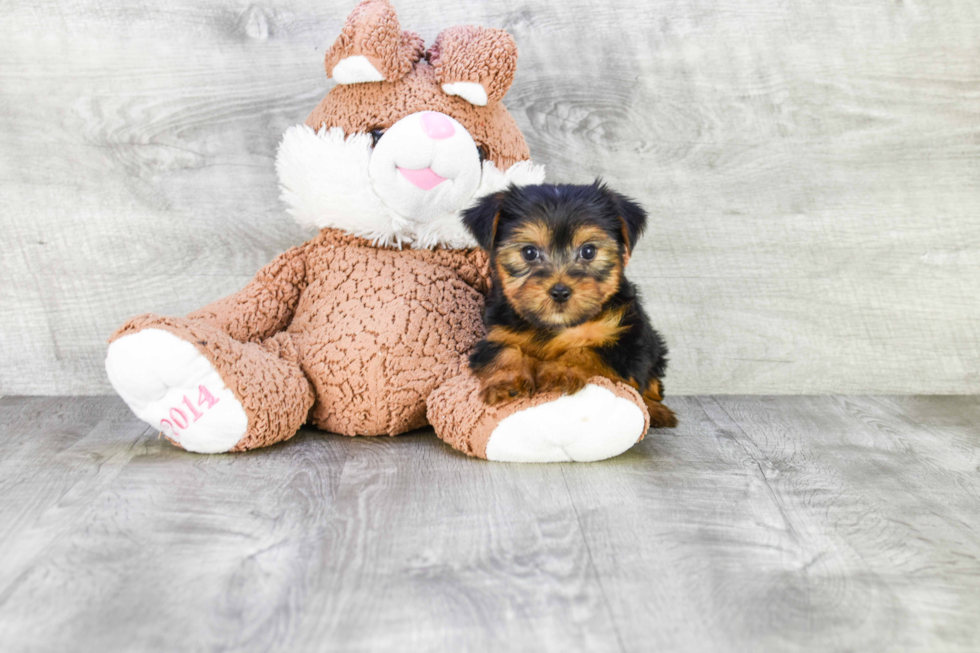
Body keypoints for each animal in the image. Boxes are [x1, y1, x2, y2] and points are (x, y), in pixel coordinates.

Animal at [464, 181, 676, 430]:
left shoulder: (627, 345)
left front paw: (559, 371)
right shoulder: (497, 333)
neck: (557, 326)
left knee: (651, 387)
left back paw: (658, 411)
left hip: (654, 348)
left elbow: (586, 350)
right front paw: (506, 381)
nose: (560, 291)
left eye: (588, 251)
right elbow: (504, 350)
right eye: (529, 252)